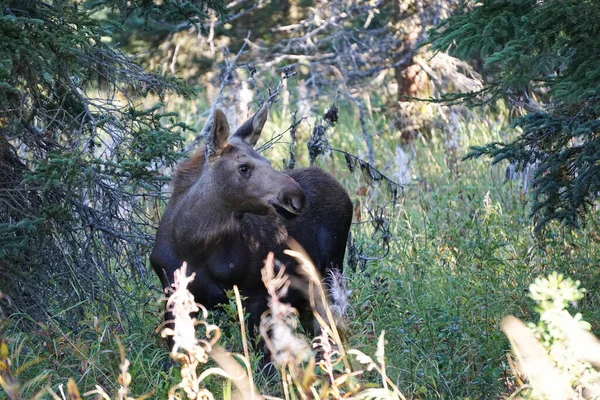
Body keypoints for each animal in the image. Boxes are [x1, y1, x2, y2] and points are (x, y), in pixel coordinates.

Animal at [150, 104, 354, 346]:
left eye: (268, 162)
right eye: (243, 167)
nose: (297, 197)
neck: (190, 244)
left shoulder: (256, 297)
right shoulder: (173, 297)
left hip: (331, 271)